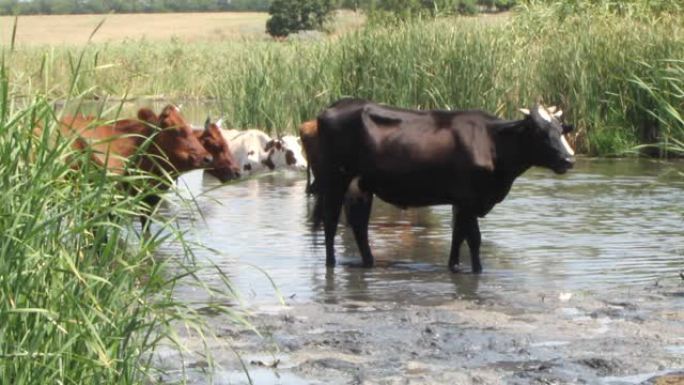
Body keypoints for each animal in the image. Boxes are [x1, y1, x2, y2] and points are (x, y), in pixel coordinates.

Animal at [316, 99, 576, 272]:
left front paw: (454, 266)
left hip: (361, 185)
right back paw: (331, 263)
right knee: (330, 221)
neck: (492, 143)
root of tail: (332, 107)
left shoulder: (462, 201)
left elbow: (458, 236)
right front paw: (477, 271)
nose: (569, 159)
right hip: (334, 179)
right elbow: (474, 239)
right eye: (541, 131)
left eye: (561, 129)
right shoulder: (469, 199)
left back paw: (368, 262)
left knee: (358, 225)